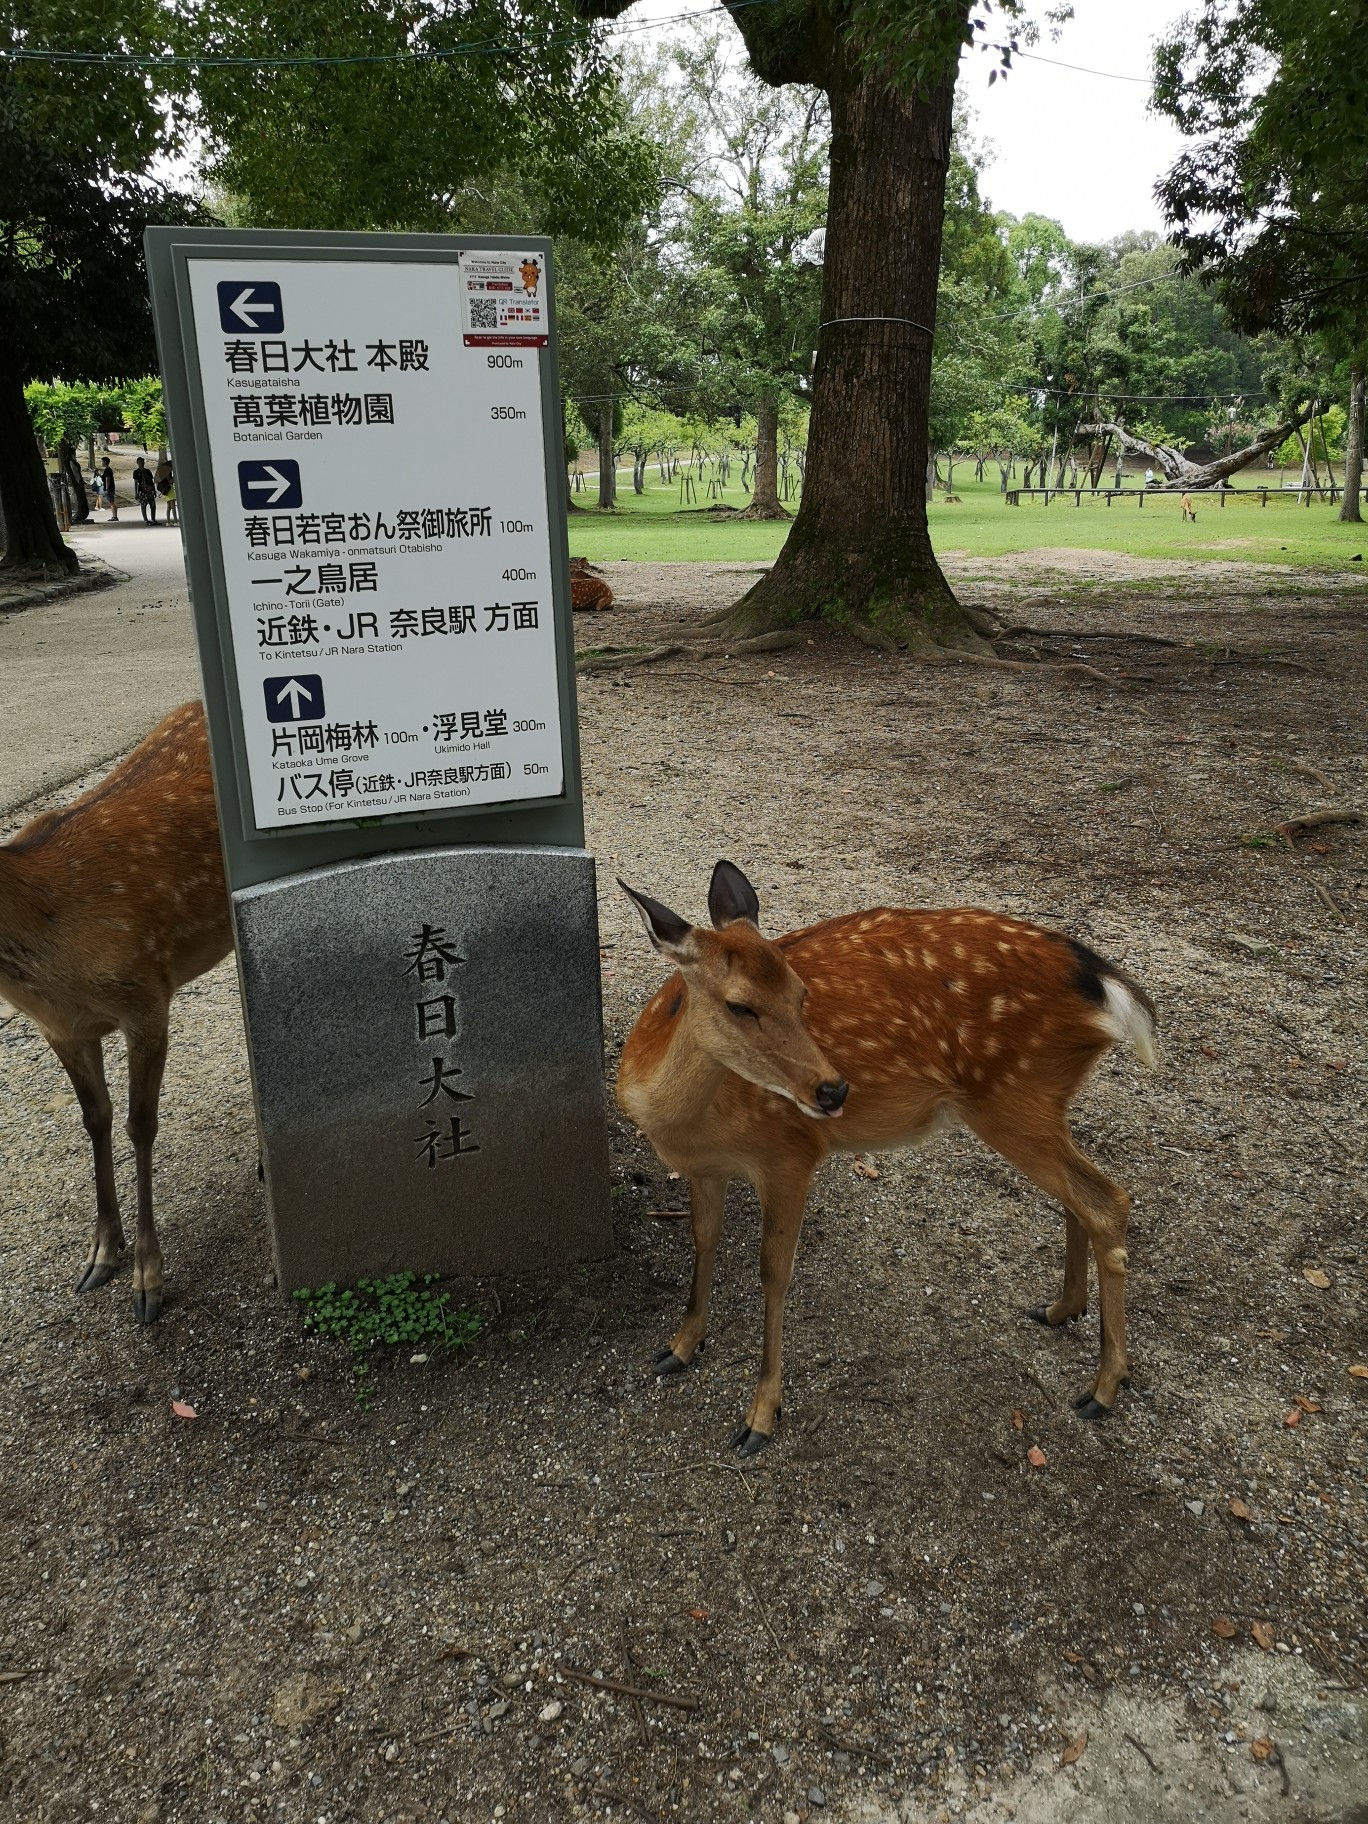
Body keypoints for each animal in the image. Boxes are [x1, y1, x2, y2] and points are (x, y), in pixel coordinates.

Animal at [0, 700, 233, 1327]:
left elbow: (140, 1124)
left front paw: (148, 1281)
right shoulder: (59, 1028)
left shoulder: (145, 994)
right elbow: (95, 1118)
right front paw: (102, 1252)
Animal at [620, 860, 1160, 1459]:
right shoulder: (704, 1169)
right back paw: (1061, 1309)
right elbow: (704, 1240)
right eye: (740, 1004)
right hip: (1041, 1100)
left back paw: (1103, 1387)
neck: (684, 1124)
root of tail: (1102, 982)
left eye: (801, 993)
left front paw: (761, 1415)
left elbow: (774, 1272)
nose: (833, 1090)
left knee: (1109, 1199)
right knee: (1080, 1197)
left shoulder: (790, 1152)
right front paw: (678, 1346)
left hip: (1013, 1095)